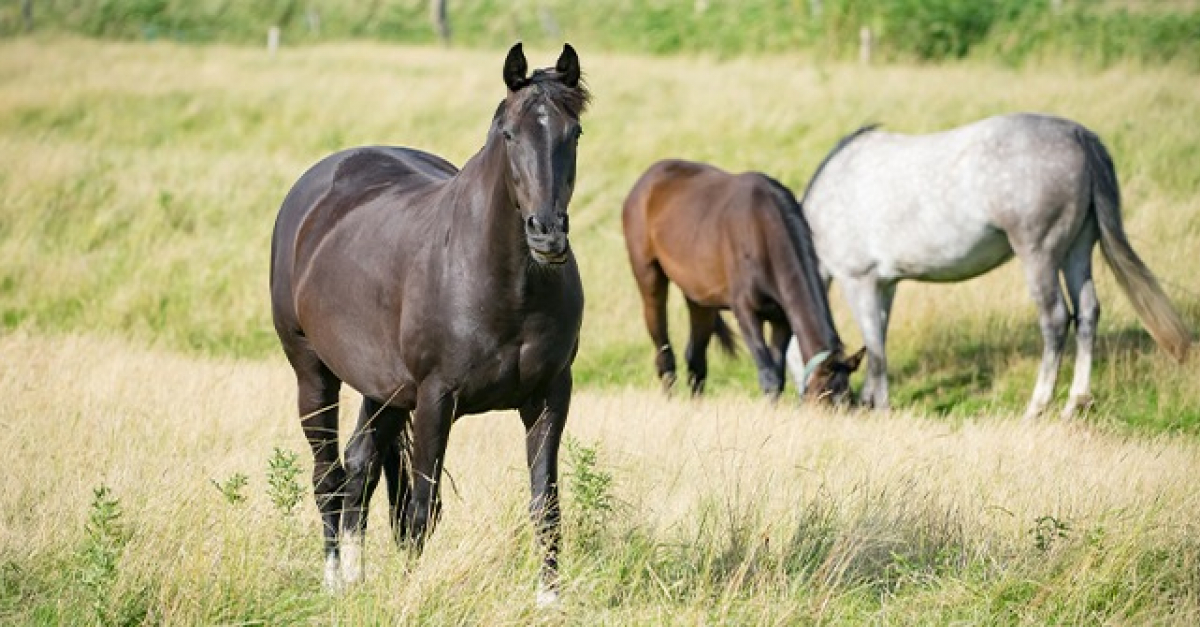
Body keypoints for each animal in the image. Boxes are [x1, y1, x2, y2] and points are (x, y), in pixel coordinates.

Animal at [271, 42, 590, 600]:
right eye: (510, 134)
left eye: (573, 133)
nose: (547, 234)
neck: (505, 287)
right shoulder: (436, 399)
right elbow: (422, 510)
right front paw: (409, 593)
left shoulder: (550, 396)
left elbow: (545, 505)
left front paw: (549, 599)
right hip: (312, 372)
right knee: (327, 475)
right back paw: (333, 578)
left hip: (383, 389)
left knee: (359, 466)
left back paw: (353, 574)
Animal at [619, 158, 864, 398]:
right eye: (824, 397)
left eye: (848, 400)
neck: (765, 230)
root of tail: (645, 181)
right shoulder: (746, 311)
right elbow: (769, 376)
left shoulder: (782, 319)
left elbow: (778, 375)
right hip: (649, 278)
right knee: (663, 351)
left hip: (699, 297)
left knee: (696, 358)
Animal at [796, 112, 1190, 418]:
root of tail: (1079, 137)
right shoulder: (885, 284)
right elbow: (878, 337)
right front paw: (871, 400)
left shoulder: (857, 280)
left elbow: (875, 351)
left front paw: (879, 408)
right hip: (1077, 252)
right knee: (1088, 314)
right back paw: (1074, 404)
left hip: (1039, 255)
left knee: (1056, 320)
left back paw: (1036, 407)